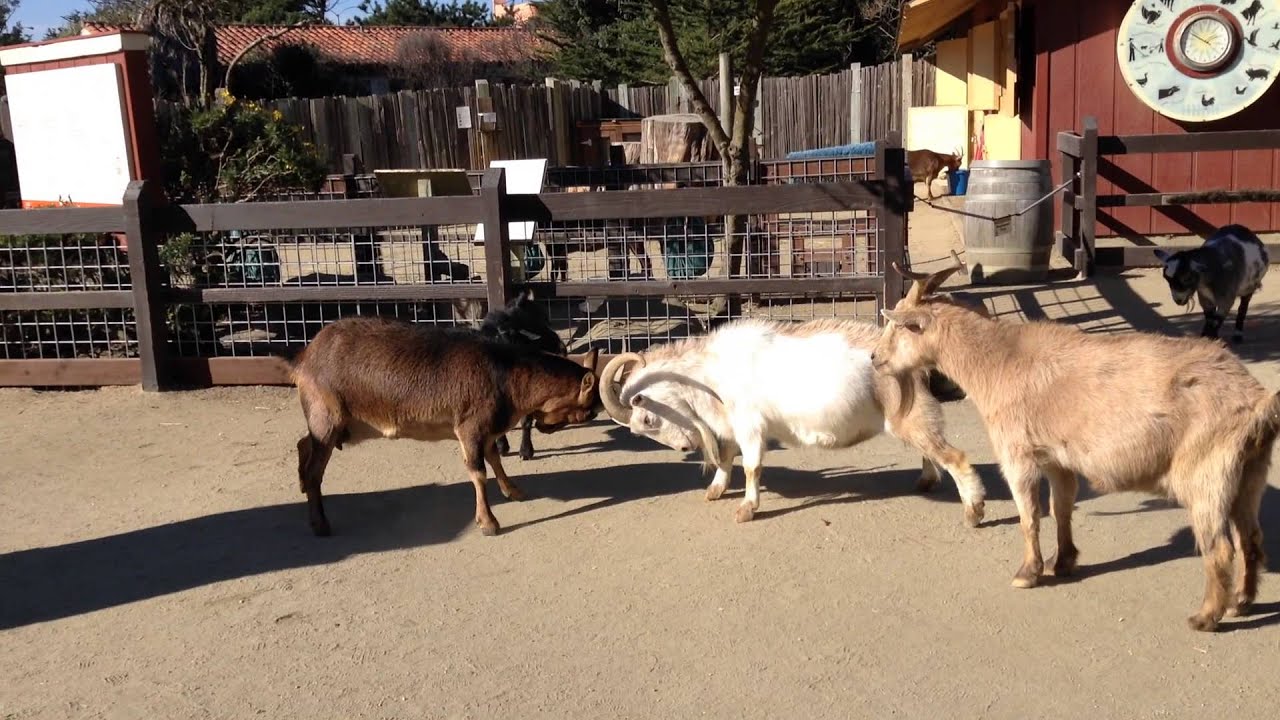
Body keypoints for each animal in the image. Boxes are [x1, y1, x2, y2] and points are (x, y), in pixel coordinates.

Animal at [284, 316, 600, 537]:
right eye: (587, 411)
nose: (548, 428)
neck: (508, 376)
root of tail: (304, 357)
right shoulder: (470, 428)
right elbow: (478, 472)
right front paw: (488, 522)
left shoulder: (486, 432)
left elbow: (495, 461)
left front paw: (514, 491)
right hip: (328, 417)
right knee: (315, 467)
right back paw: (320, 523)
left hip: (337, 422)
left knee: (304, 443)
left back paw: (301, 485)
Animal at [598, 317, 988, 527]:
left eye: (647, 418)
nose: (685, 446)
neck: (711, 372)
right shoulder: (729, 426)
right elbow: (726, 458)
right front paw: (716, 490)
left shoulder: (750, 425)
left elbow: (751, 466)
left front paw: (746, 509)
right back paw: (926, 481)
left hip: (909, 415)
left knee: (954, 456)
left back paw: (973, 511)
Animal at [872, 258, 1280, 632]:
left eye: (897, 325)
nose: (874, 358)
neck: (999, 361)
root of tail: (1258, 402)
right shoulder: (1058, 458)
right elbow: (1061, 507)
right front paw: (1064, 561)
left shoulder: (1017, 454)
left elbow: (1029, 515)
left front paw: (1028, 572)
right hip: (1249, 474)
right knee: (1251, 536)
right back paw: (1241, 602)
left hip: (1206, 474)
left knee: (1220, 547)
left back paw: (1206, 616)